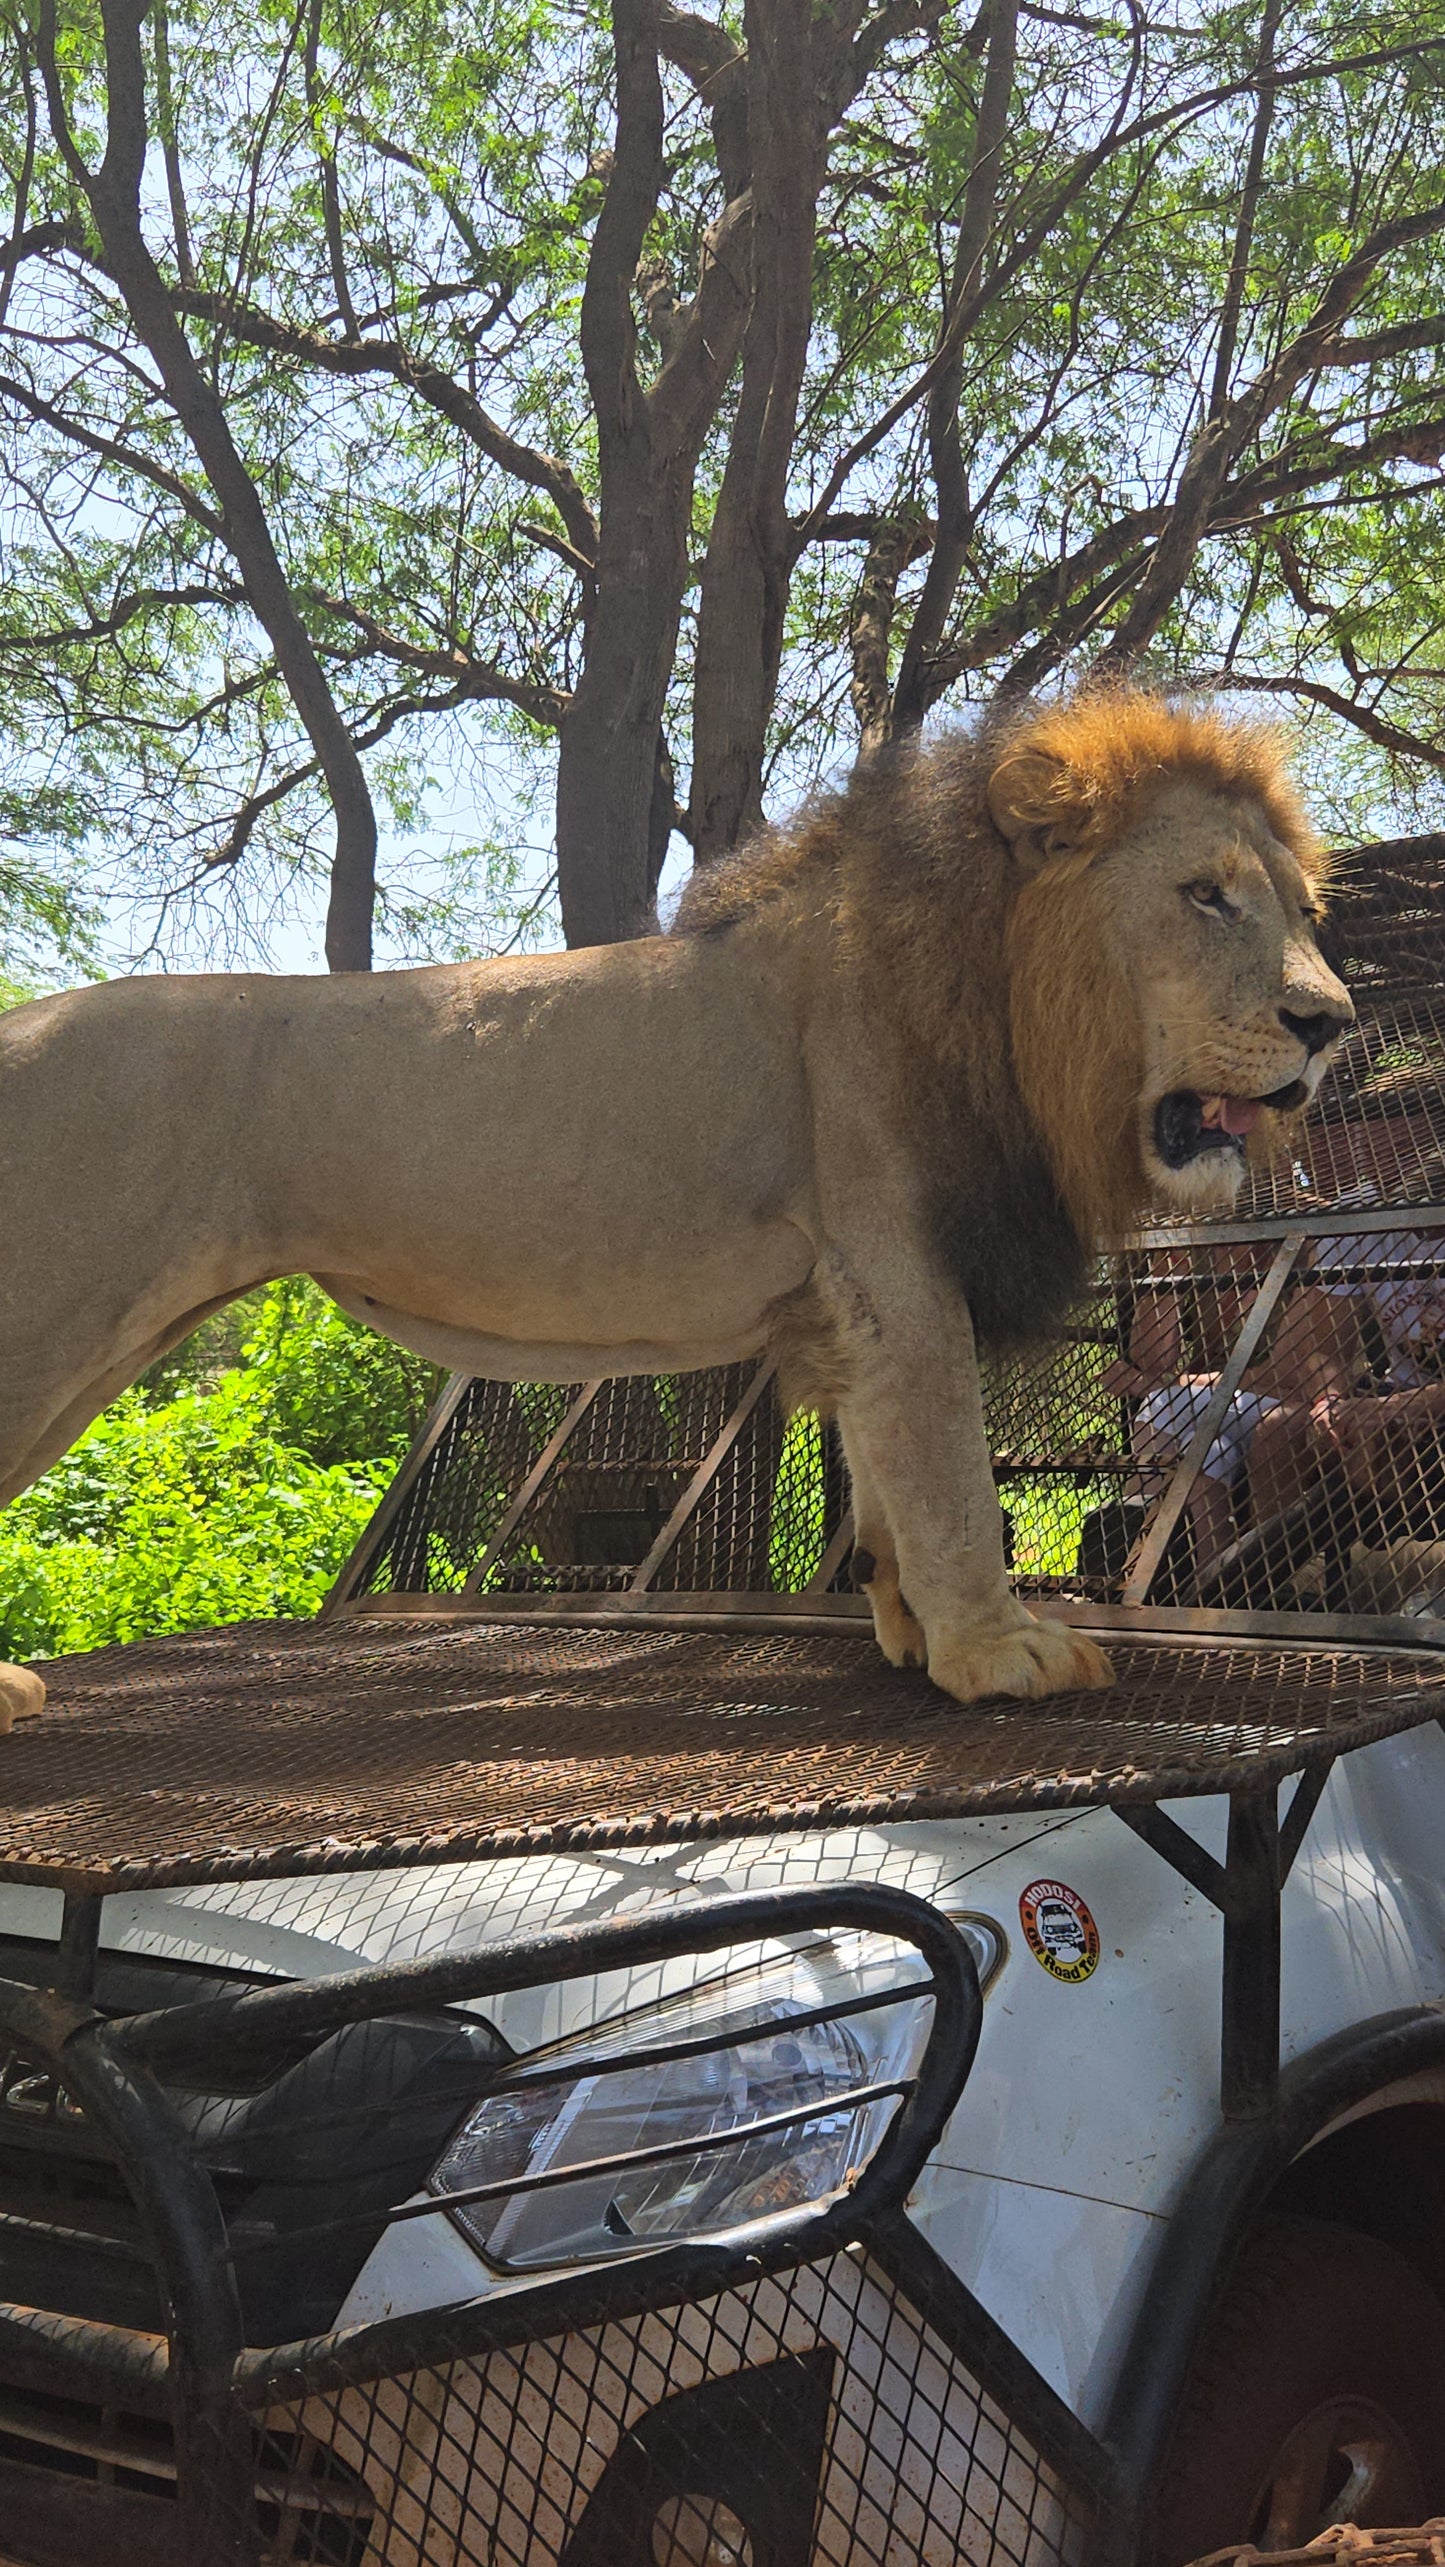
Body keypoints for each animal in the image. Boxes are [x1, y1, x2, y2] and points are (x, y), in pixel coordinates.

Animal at [0, 690, 1351, 1729]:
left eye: (1302, 911)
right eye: (1204, 895)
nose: (1329, 1021)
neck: (994, 989)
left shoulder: (860, 1299)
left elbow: (884, 1480)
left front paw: (916, 1634)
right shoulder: (893, 1264)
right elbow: (951, 1475)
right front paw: (999, 1652)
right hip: (52, 1320)